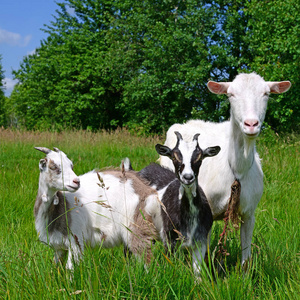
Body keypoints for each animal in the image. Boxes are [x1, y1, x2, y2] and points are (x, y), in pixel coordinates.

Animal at [161, 73, 292, 268]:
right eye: (231, 95)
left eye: (266, 94)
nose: (251, 124)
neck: (236, 170)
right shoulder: (204, 213)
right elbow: (203, 254)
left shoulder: (249, 213)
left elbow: (246, 257)